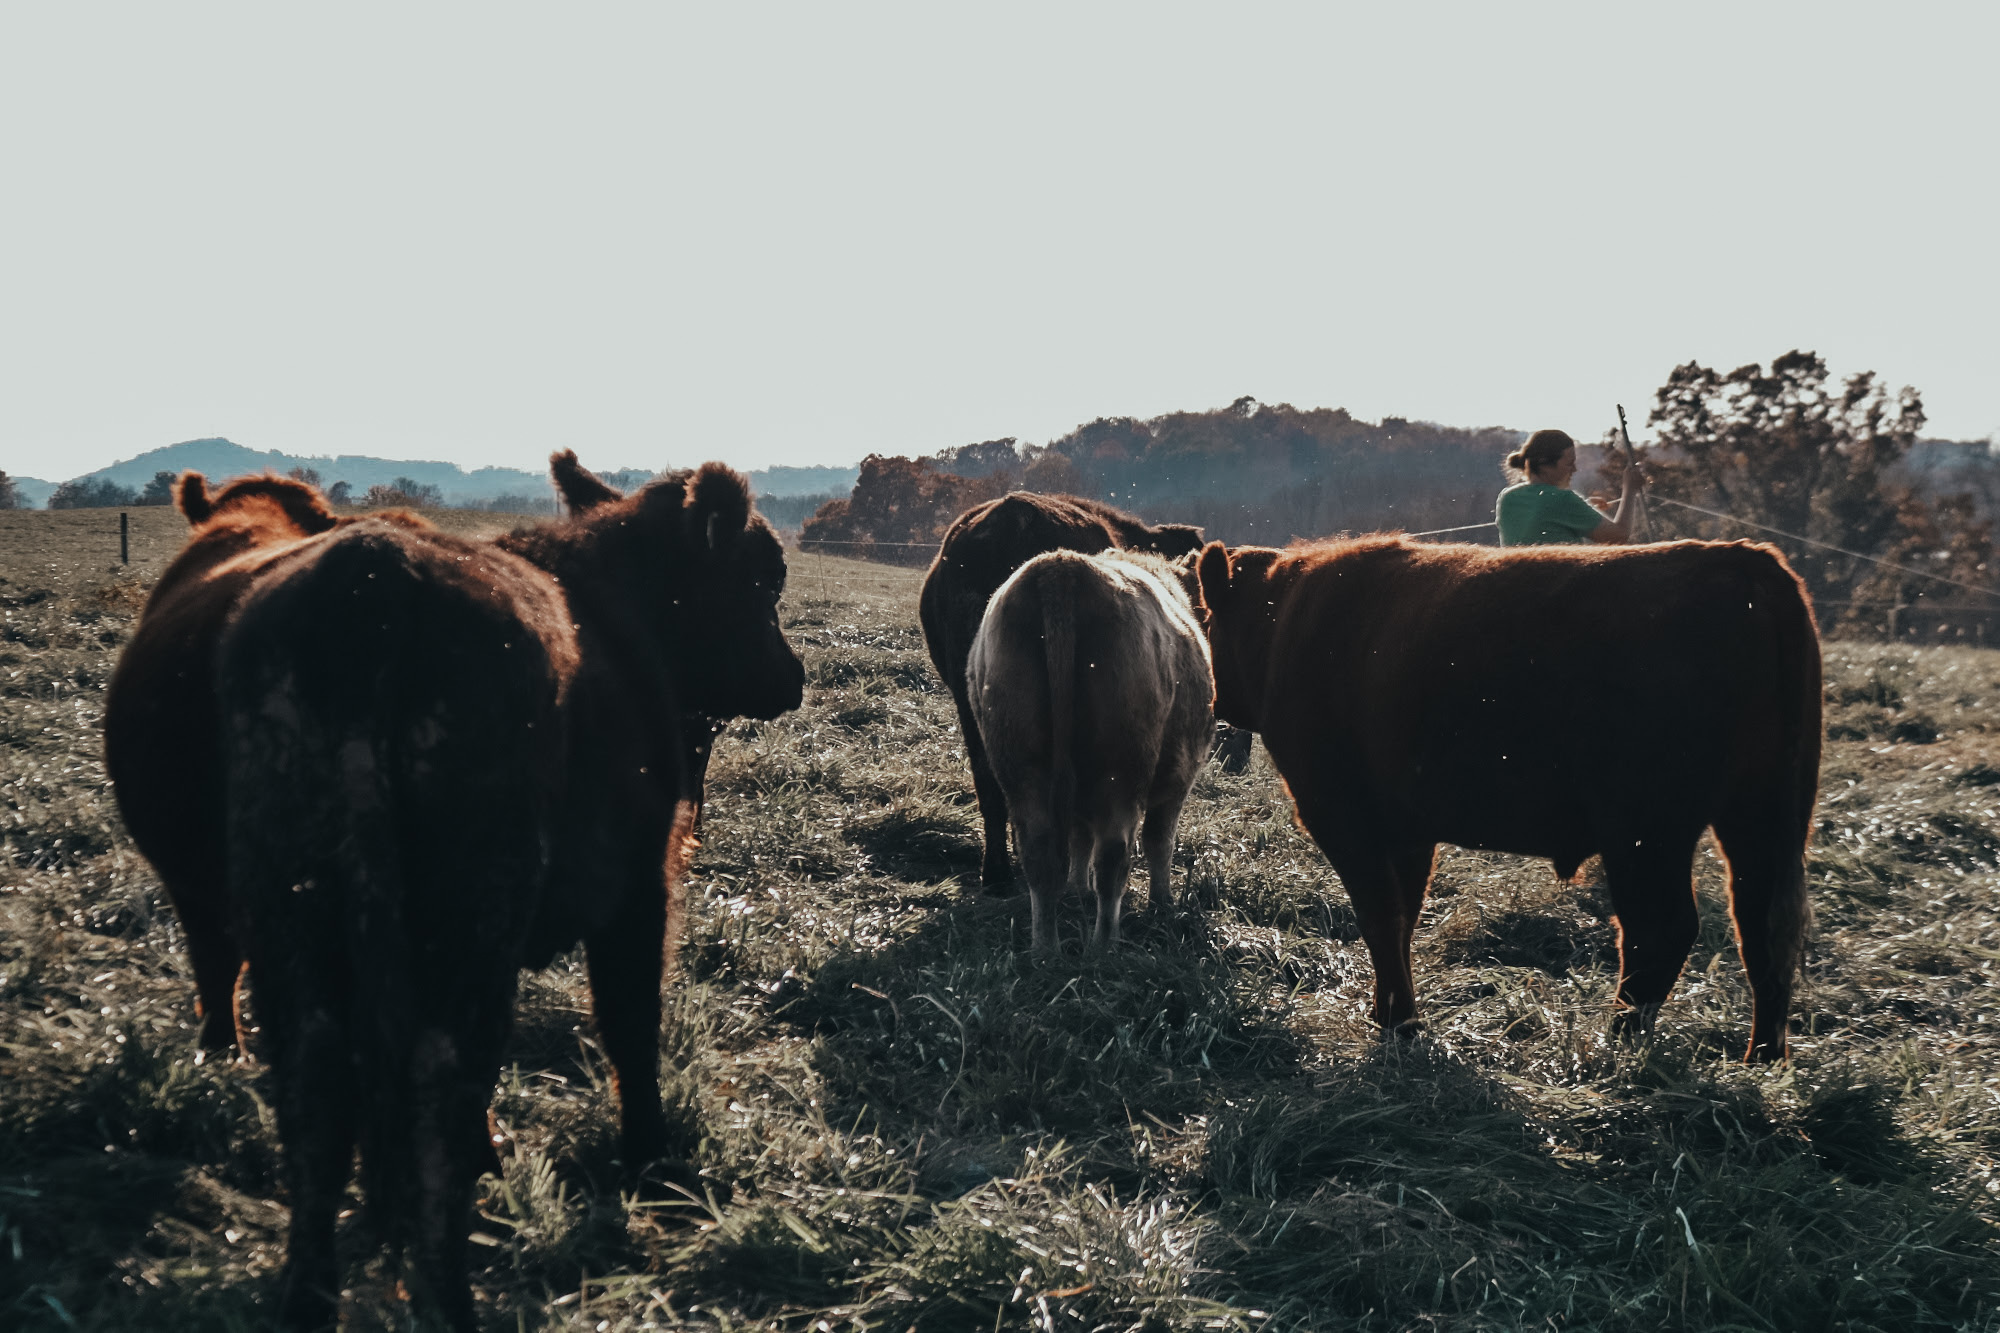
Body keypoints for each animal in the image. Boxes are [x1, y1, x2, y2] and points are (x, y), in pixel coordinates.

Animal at [217, 462, 802, 1331]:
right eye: (765, 576)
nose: (792, 675)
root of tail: (370, 582)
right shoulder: (640, 886)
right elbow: (631, 1020)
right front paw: (651, 1158)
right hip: (472, 918)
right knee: (442, 1084)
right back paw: (451, 1297)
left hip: (291, 914)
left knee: (313, 1090)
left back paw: (308, 1299)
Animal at [967, 550, 1215, 950]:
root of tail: (1061, 567)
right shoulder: (1179, 778)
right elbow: (1159, 841)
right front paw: (1162, 904)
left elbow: (1080, 837)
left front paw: (1076, 889)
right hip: (1121, 773)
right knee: (1113, 856)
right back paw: (1104, 945)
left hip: (1019, 767)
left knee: (1039, 852)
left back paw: (1045, 947)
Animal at [1190, 536, 1820, 1063]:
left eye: (1206, 619)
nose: (1212, 701)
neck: (1284, 622)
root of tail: (1746, 562)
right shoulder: (1408, 830)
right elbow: (1404, 915)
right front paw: (1392, 1012)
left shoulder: (1342, 815)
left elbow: (1379, 915)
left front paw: (1398, 1022)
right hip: (1759, 819)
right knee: (1763, 930)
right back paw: (1763, 1061)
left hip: (1646, 833)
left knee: (1661, 930)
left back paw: (1613, 1046)